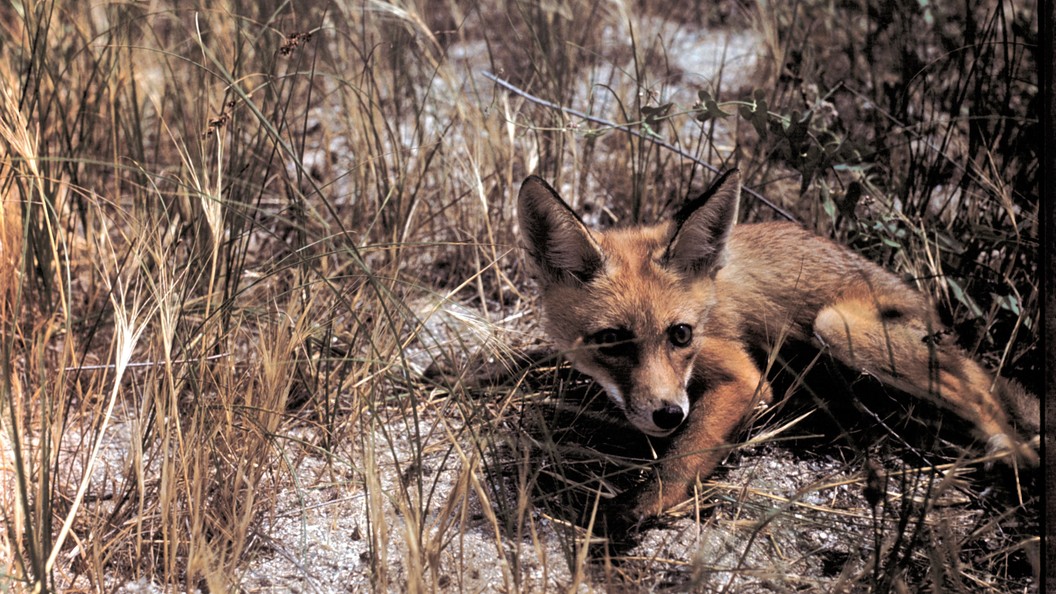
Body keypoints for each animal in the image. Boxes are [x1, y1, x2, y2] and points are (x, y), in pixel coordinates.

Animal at [519, 168, 1039, 522]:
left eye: (681, 334)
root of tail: (927, 304)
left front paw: (647, 502)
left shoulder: (744, 378)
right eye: (612, 340)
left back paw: (1012, 457)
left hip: (839, 327)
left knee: (980, 394)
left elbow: (685, 450)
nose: (667, 414)